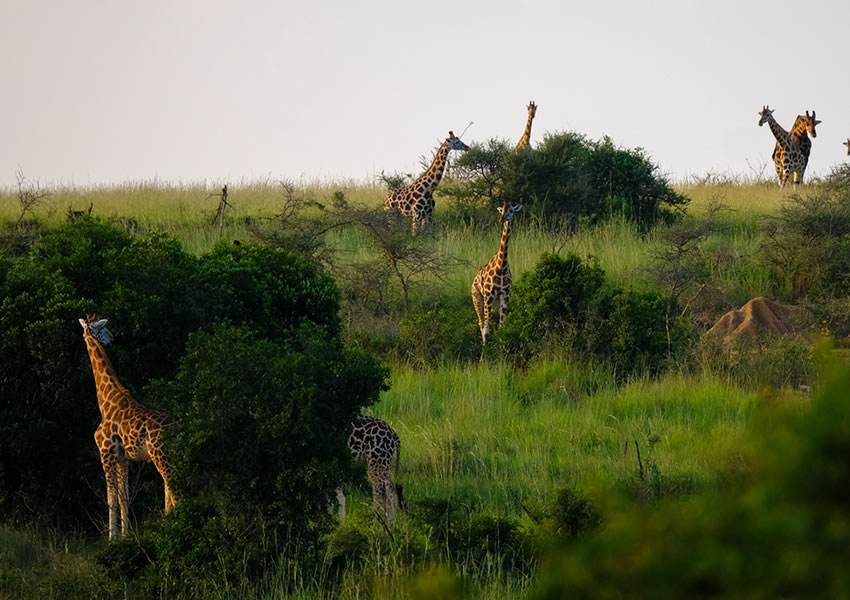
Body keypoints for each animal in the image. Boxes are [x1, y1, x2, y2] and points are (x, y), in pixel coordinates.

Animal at [79, 314, 176, 540]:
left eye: (103, 327)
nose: (112, 338)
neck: (105, 400)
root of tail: (179, 426)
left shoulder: (106, 452)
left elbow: (111, 498)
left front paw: (111, 539)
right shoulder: (124, 458)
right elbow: (124, 496)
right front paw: (125, 535)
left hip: (160, 455)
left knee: (173, 485)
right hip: (169, 455)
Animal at [470, 200, 516, 344]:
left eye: (511, 210)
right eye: (501, 211)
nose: (502, 219)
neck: (501, 266)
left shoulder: (505, 294)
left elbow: (502, 326)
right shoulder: (488, 295)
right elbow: (486, 328)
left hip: (495, 302)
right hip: (477, 298)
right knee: (481, 323)